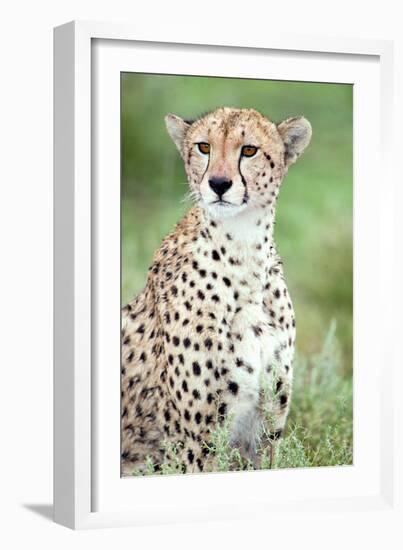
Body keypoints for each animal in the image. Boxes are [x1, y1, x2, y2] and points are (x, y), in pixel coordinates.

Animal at [121, 106, 314, 474]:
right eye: (203, 147)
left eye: (249, 150)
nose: (219, 184)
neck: (243, 252)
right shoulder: (197, 442)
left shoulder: (266, 428)